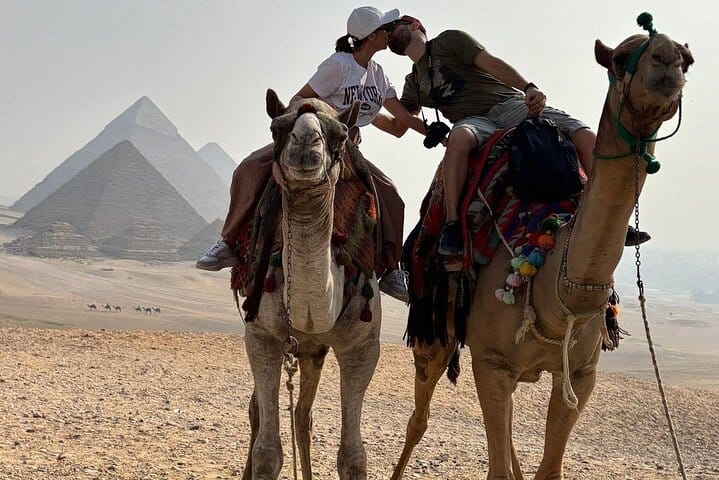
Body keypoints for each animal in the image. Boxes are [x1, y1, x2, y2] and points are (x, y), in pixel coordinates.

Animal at [241, 91, 381, 480]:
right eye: (276, 127)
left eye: (341, 135)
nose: (306, 143)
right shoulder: (262, 336)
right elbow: (267, 452)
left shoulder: (363, 347)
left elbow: (353, 456)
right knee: (258, 411)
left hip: (312, 350)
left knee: (303, 414)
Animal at [391, 24, 693, 480]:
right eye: (618, 59)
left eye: (687, 60)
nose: (666, 61)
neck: (557, 288)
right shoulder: (492, 362)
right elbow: (496, 467)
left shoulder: (582, 374)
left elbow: (548, 468)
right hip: (435, 323)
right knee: (419, 417)